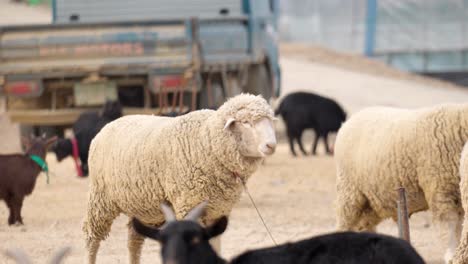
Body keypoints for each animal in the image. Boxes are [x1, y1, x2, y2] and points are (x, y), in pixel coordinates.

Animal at [83, 93, 278, 264]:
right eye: (246, 122)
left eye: (270, 122)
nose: (271, 145)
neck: (207, 142)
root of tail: (109, 124)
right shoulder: (188, 205)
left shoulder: (216, 211)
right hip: (100, 199)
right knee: (91, 238)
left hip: (143, 207)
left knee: (134, 239)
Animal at [334, 104, 468, 262]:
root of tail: (347, 122)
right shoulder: (441, 190)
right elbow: (450, 226)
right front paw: (451, 255)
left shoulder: (458, 194)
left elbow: (460, 227)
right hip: (349, 191)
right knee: (344, 224)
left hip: (371, 201)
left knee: (363, 226)